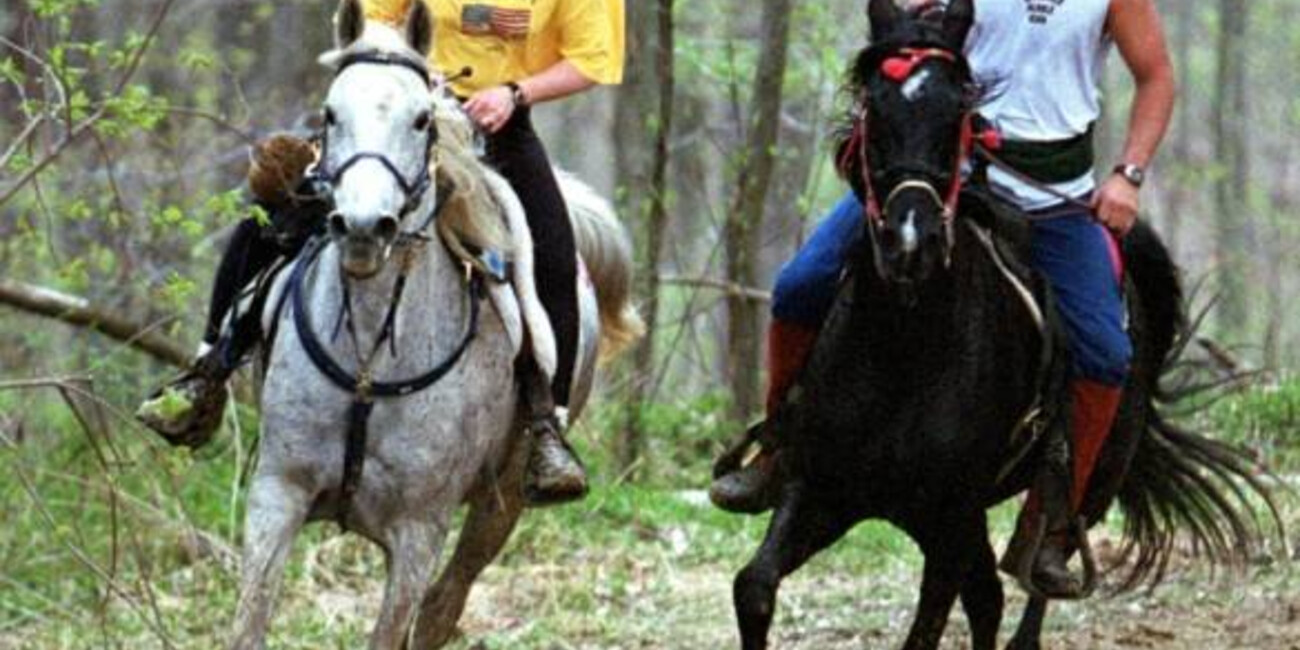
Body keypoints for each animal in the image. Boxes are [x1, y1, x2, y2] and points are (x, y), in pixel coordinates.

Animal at [232, 2, 644, 647]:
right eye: (331, 112)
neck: (370, 358)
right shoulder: (278, 493)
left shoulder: (418, 530)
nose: (363, 227)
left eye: (422, 118)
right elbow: (249, 621)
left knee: (444, 605)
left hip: (501, 505)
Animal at [738, 2, 1274, 647]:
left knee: (1036, 572)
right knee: (988, 597)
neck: (901, 348)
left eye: (958, 112)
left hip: (1086, 483)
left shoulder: (950, 519)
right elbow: (754, 587)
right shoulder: (821, 489)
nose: (911, 242)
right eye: (874, 108)